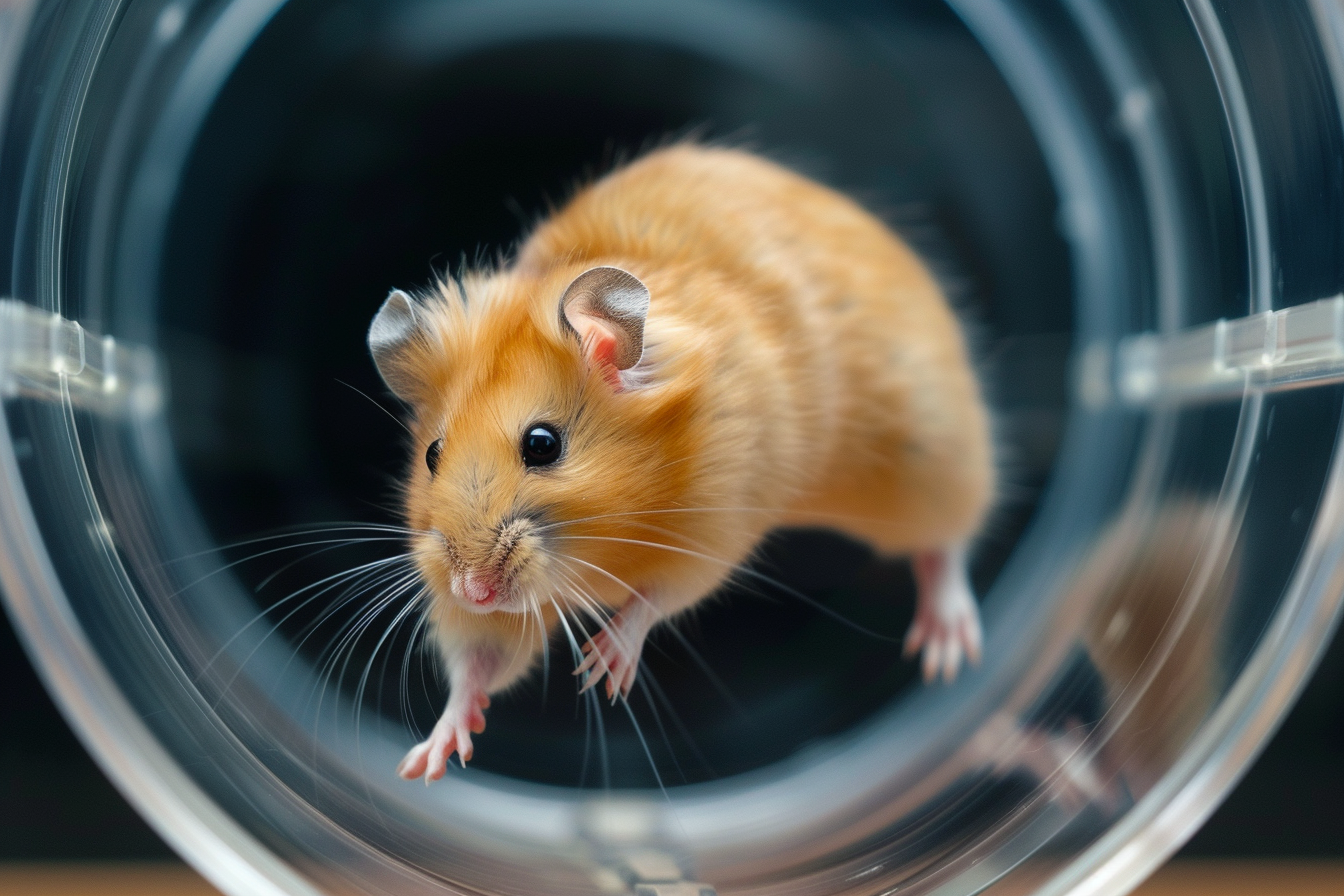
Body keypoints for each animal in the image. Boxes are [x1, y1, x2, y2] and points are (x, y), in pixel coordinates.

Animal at [369, 145, 994, 783]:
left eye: (542, 444)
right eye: (431, 455)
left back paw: (948, 650)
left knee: (948, 542)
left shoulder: (712, 530)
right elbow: (480, 661)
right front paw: (425, 761)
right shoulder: (496, 617)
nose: (471, 591)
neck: (605, 546)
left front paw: (601, 671)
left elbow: (654, 598)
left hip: (931, 460)